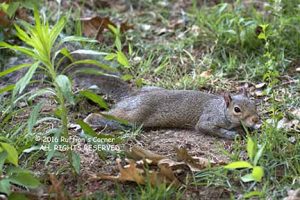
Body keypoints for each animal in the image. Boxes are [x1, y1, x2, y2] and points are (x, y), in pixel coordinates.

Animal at [76, 73, 262, 139]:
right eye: (237, 109)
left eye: (254, 104)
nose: (255, 119)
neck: (222, 110)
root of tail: (132, 95)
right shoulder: (207, 119)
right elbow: (207, 128)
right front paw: (233, 134)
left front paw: (250, 128)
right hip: (135, 114)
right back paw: (88, 121)